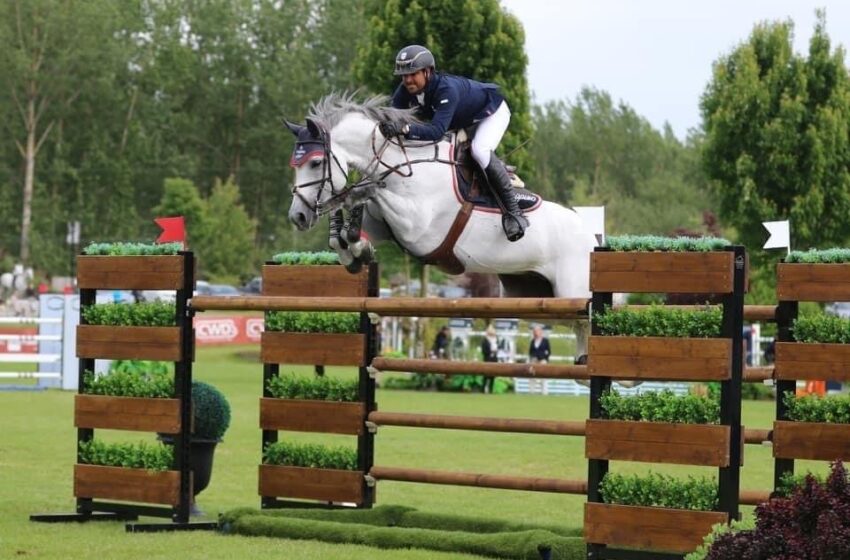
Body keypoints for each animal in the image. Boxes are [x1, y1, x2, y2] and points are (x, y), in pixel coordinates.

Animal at [284, 92, 596, 356]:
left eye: (315, 163)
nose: (297, 216)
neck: (403, 165)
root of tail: (593, 238)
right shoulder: (385, 224)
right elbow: (347, 233)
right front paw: (356, 251)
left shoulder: (417, 226)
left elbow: (370, 192)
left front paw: (353, 222)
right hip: (540, 299)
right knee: (578, 330)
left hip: (572, 292)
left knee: (586, 324)